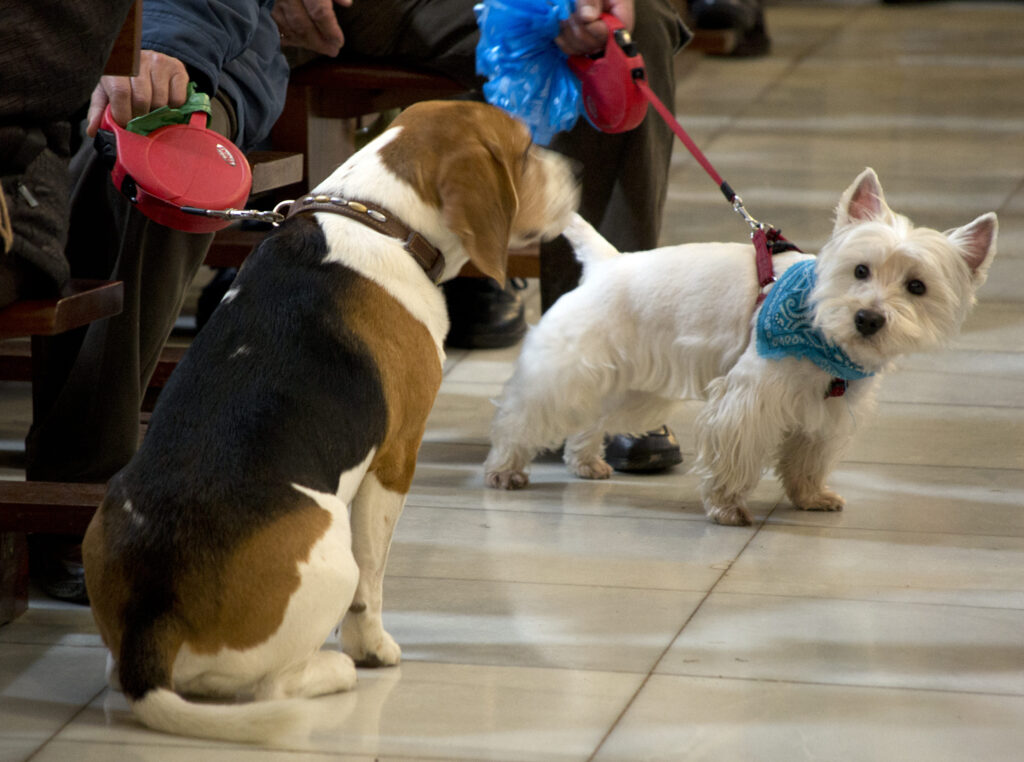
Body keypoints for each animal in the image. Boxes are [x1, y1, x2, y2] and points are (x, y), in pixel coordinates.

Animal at [485, 166, 999, 524]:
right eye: (860, 270)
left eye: (917, 287)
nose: (868, 318)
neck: (823, 334)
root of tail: (607, 262)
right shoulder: (750, 397)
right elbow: (736, 454)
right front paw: (727, 507)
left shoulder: (828, 410)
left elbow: (807, 458)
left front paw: (811, 496)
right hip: (571, 367)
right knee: (523, 413)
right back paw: (505, 468)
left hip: (630, 384)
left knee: (590, 419)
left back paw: (586, 461)